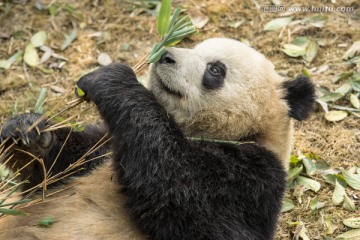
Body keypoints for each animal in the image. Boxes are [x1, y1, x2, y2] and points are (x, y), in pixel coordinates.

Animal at [0, 38, 314, 239]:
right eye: (193, 46)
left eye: (215, 69)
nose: (165, 56)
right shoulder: (107, 146)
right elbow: (60, 170)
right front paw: (30, 133)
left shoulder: (252, 179)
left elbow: (186, 197)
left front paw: (111, 78)